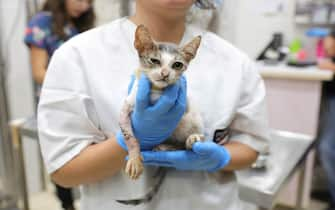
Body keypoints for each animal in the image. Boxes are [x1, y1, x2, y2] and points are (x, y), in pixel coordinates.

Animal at [120, 24, 205, 179]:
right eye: (154, 61)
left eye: (177, 65)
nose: (165, 74)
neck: (156, 91)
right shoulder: (126, 107)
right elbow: (129, 137)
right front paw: (134, 159)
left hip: (193, 118)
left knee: (186, 142)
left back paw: (191, 139)